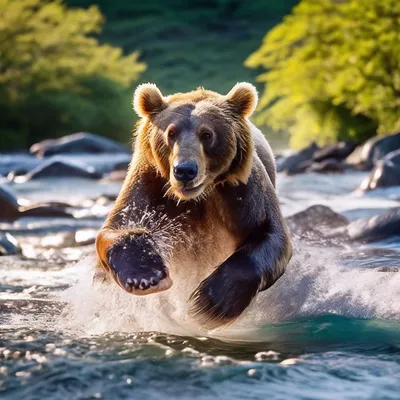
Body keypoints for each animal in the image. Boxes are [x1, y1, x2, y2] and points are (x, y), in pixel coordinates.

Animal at [95, 81, 292, 328]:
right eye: (171, 133)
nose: (185, 170)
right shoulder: (150, 182)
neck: (198, 197)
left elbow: (269, 233)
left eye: (207, 134)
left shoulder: (241, 191)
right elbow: (120, 227)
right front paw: (146, 276)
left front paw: (210, 303)